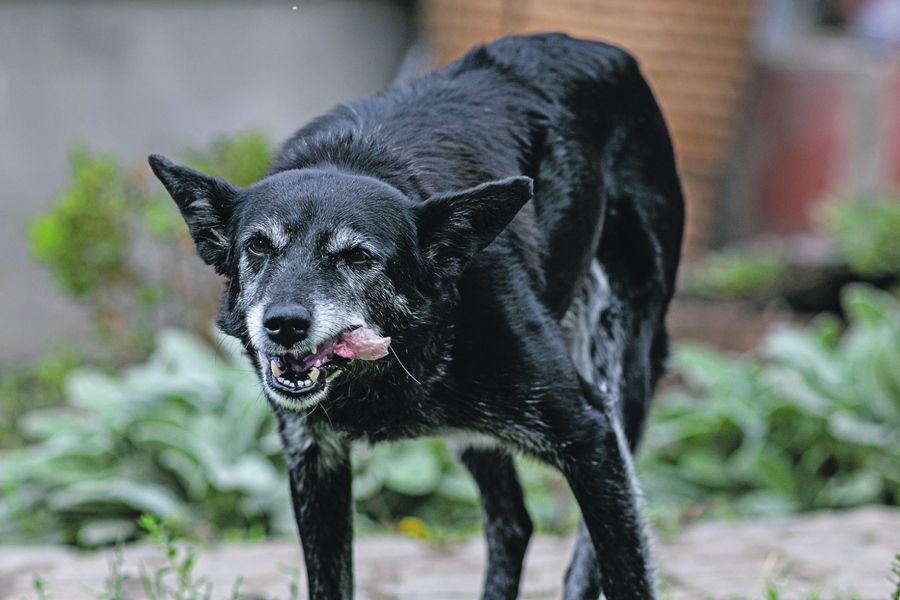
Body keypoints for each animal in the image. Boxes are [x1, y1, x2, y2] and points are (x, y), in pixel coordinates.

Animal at [149, 34, 684, 600]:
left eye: (357, 257)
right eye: (258, 247)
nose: (284, 324)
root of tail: (605, 49)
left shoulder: (590, 434)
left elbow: (626, 572)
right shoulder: (314, 458)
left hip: (620, 377)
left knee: (582, 549)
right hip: (480, 432)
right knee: (513, 523)